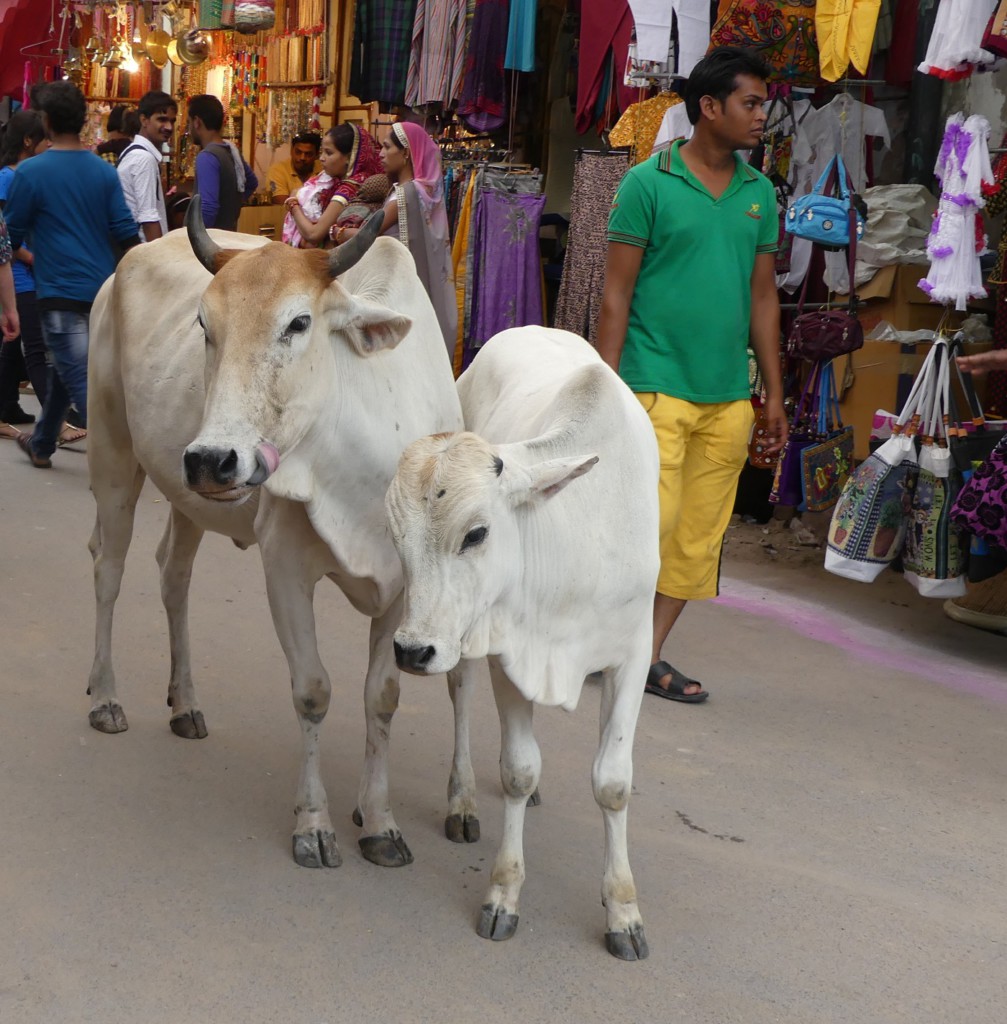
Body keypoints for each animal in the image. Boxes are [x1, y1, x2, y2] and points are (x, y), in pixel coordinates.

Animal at [85, 211, 479, 868]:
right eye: (204, 325)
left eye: (298, 323)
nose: (212, 459)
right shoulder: (286, 570)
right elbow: (313, 691)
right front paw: (314, 825)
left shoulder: (404, 589)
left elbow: (382, 698)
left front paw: (379, 821)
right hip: (113, 453)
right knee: (109, 569)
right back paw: (105, 698)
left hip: (188, 497)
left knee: (173, 575)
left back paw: (185, 703)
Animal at [385, 327, 659, 958]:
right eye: (395, 537)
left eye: (477, 533)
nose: (410, 651)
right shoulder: (506, 653)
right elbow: (518, 769)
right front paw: (503, 895)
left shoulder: (634, 654)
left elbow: (613, 783)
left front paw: (624, 911)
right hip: (462, 641)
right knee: (461, 698)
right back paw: (461, 800)